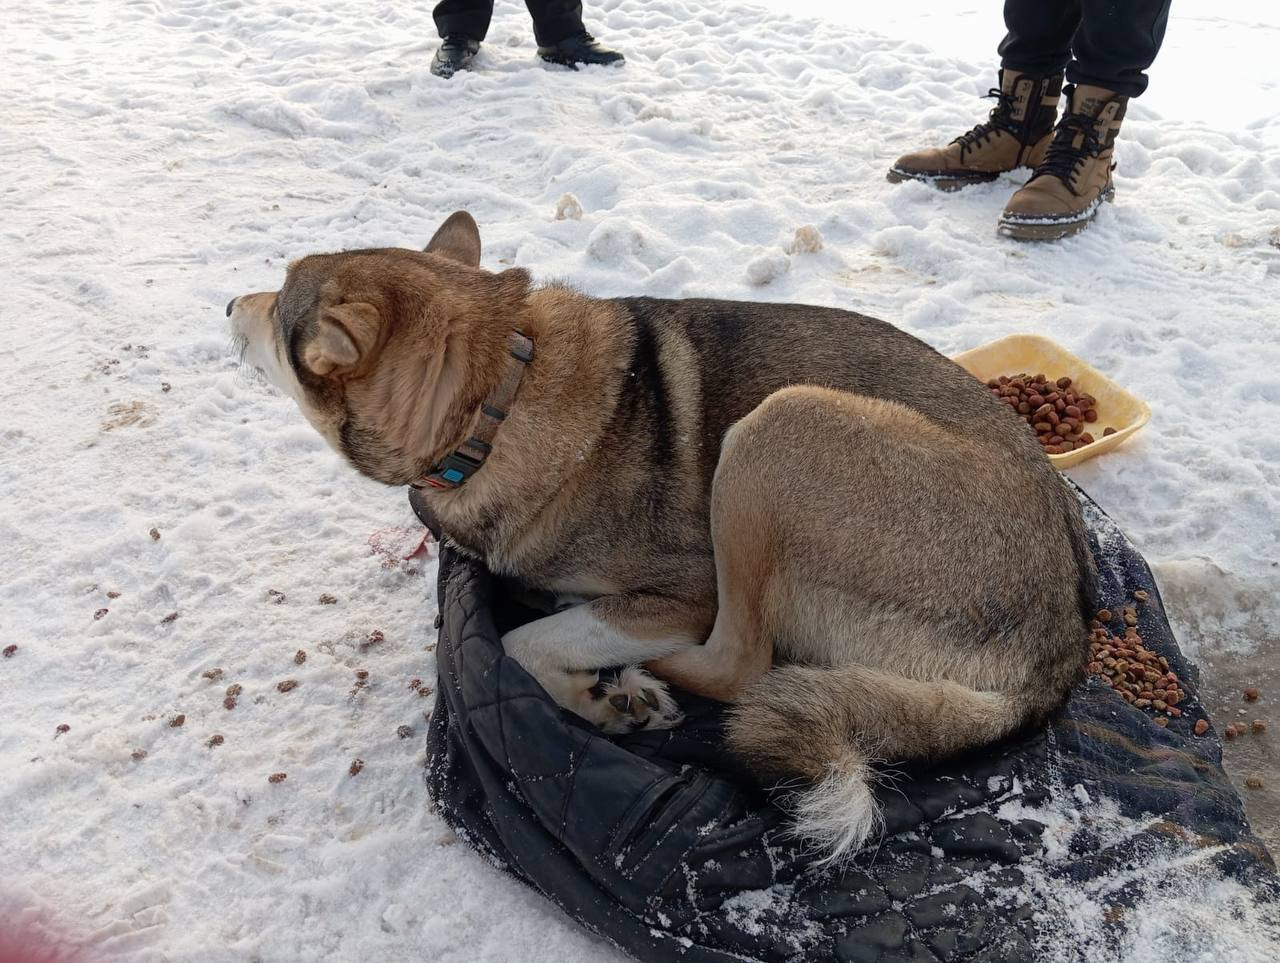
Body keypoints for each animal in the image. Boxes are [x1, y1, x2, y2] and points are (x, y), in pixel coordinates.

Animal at [225, 208, 1095, 855]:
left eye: (280, 304)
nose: (228, 304)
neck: (498, 394)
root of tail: (1053, 657)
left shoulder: (683, 591)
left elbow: (522, 643)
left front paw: (606, 697)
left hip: (776, 433)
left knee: (741, 663)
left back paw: (650, 676)